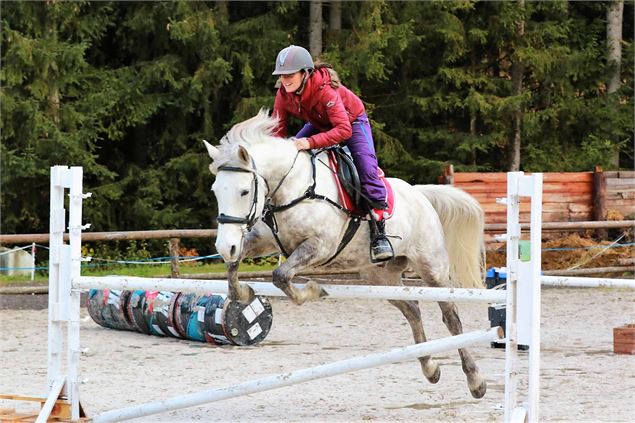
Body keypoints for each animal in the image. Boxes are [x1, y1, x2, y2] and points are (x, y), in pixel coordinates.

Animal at [204, 111, 486, 400]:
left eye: (244, 191)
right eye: (215, 191)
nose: (223, 245)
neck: (292, 188)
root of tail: (419, 194)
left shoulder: (320, 245)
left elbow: (280, 275)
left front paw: (314, 291)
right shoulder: (260, 241)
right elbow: (235, 264)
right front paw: (241, 293)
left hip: (432, 267)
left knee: (451, 317)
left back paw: (475, 380)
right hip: (381, 277)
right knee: (412, 310)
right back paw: (430, 368)